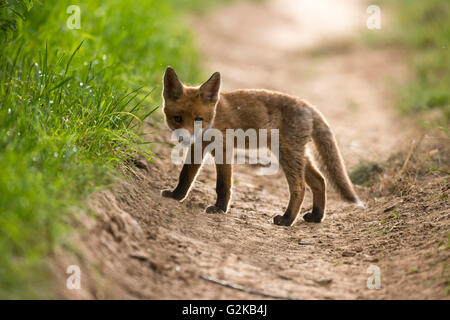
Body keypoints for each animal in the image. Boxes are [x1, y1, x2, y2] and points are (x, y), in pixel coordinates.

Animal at [160, 65, 364, 225]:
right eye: (177, 118)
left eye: (198, 119)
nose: (186, 138)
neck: (214, 118)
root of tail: (308, 105)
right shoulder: (198, 148)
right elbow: (185, 176)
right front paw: (177, 196)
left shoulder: (224, 150)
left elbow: (223, 185)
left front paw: (220, 209)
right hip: (296, 154)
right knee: (320, 181)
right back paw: (316, 216)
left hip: (287, 154)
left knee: (300, 187)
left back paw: (287, 219)